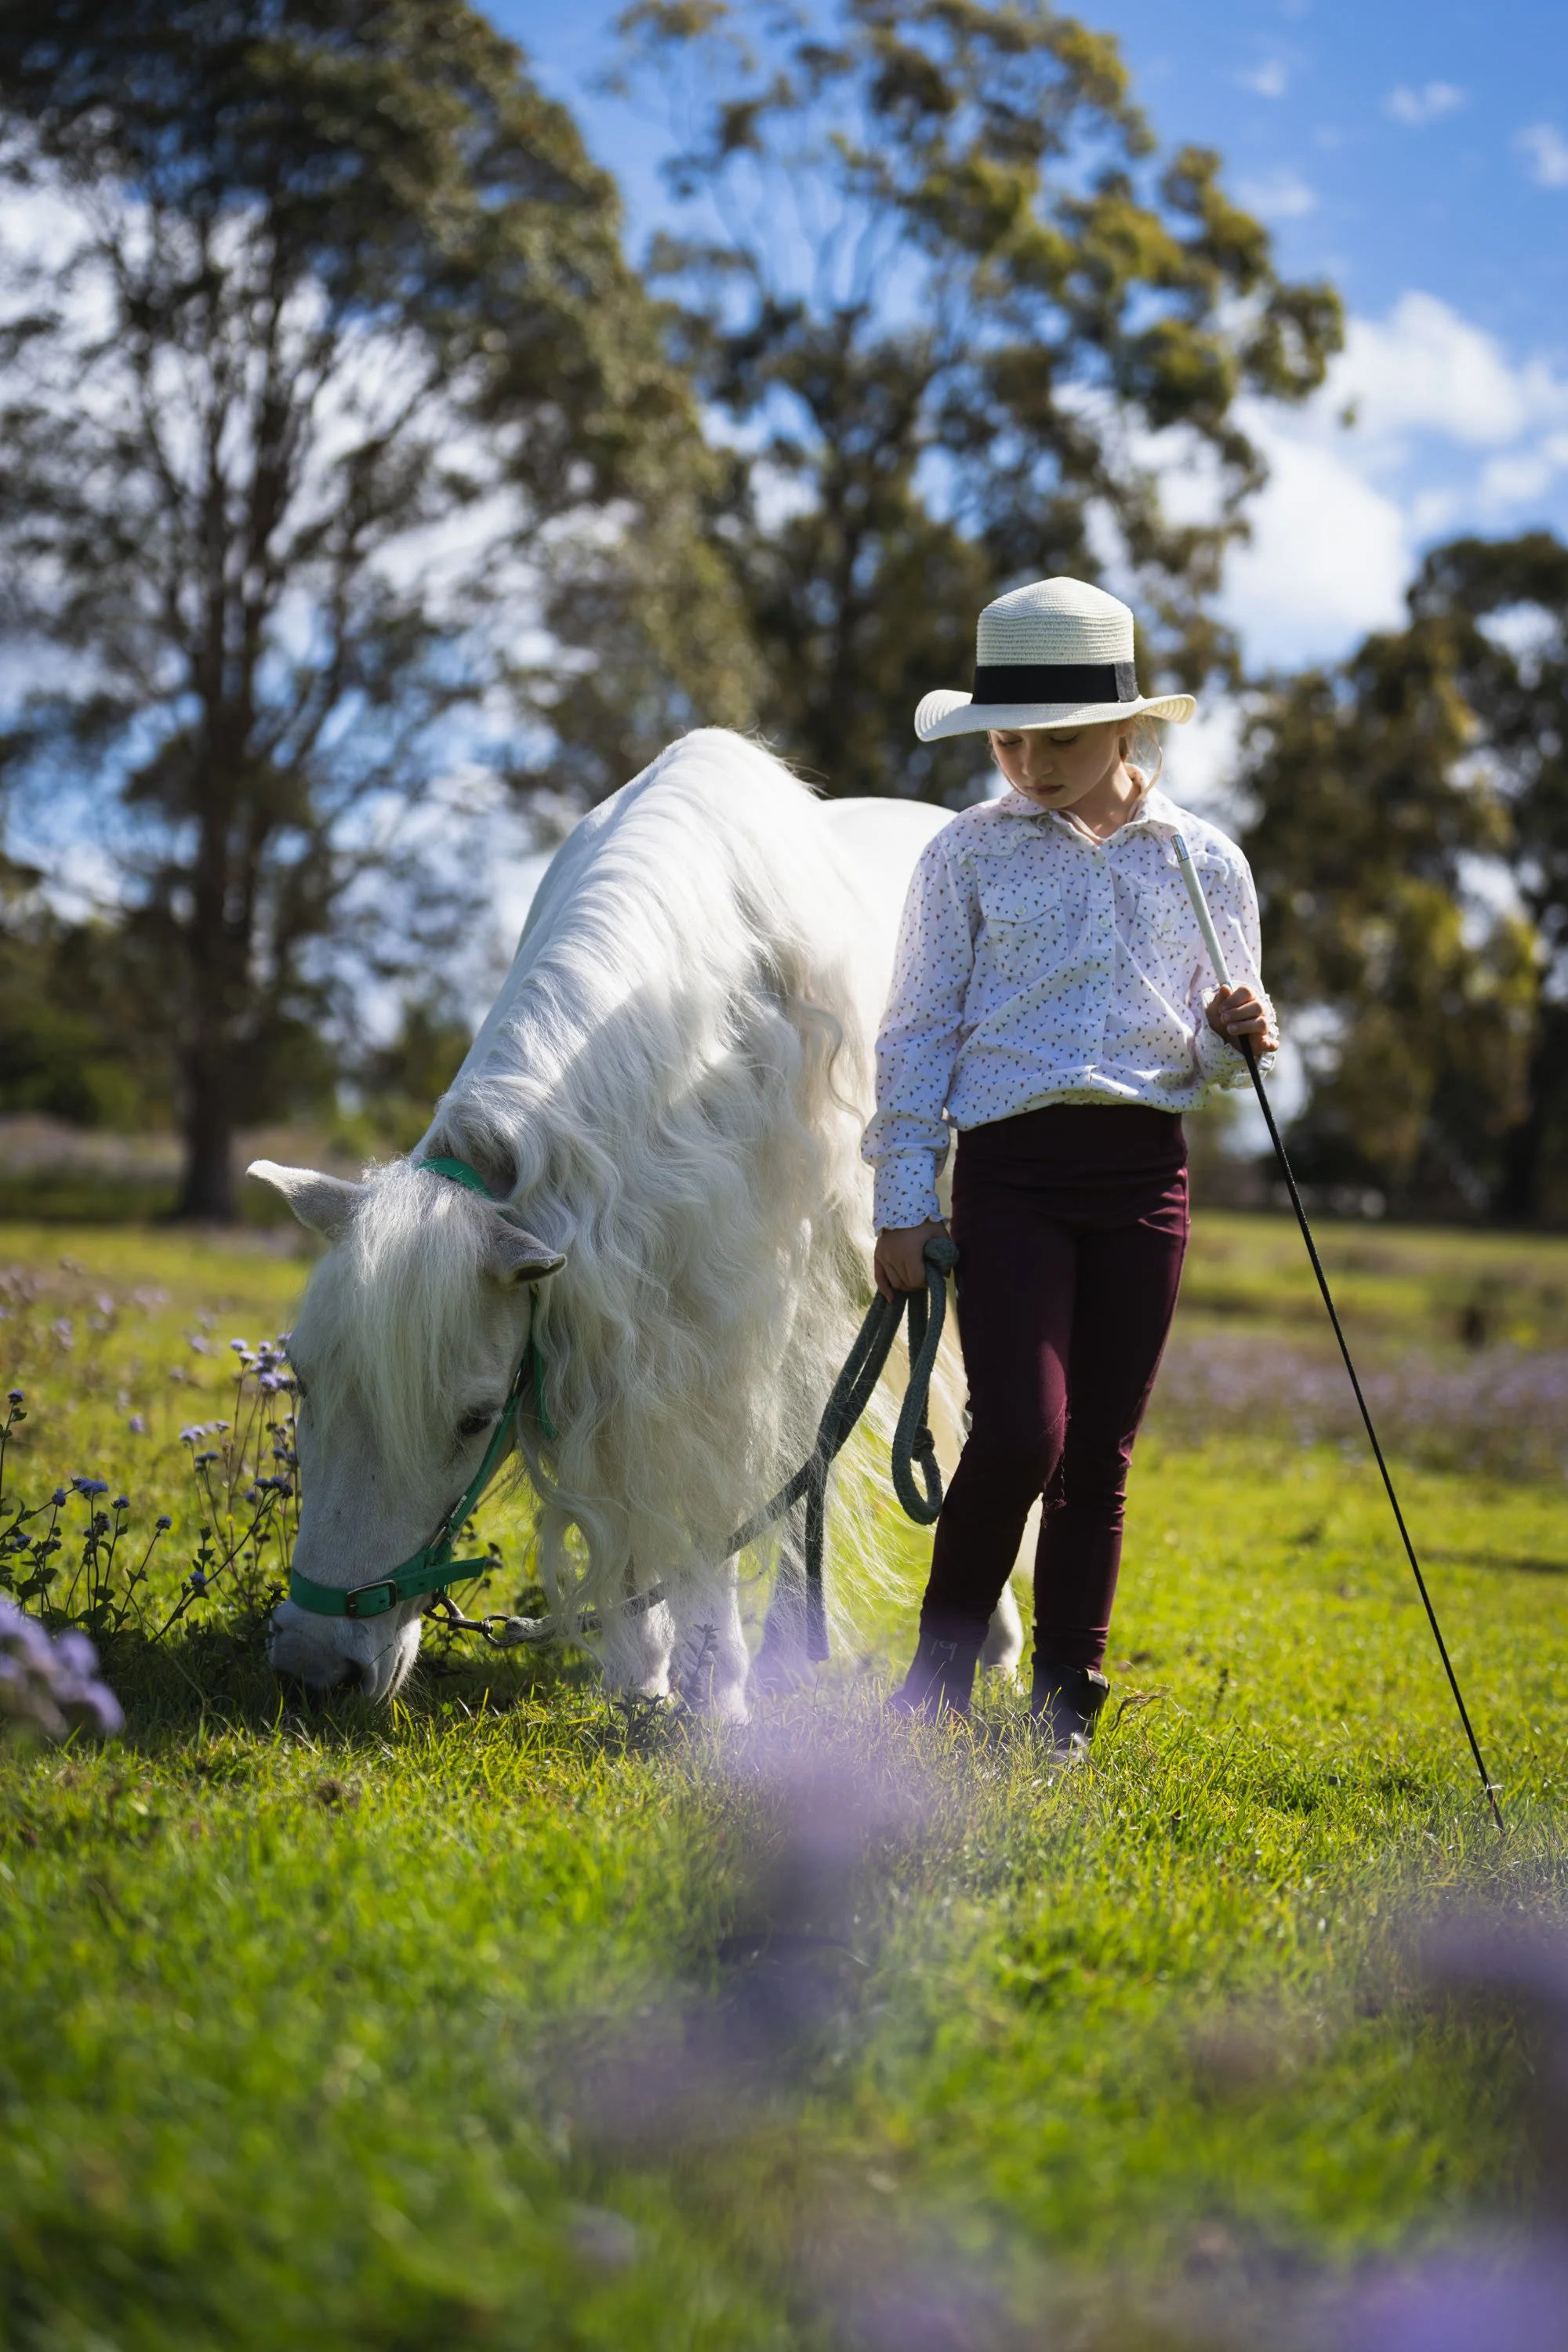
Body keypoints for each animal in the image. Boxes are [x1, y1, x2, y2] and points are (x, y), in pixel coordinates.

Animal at [252, 729, 1022, 1711]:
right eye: (304, 1381)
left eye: (471, 1418)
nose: (316, 1668)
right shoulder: (601, 1268)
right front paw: (644, 1664)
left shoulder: (743, 1298)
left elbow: (730, 1463)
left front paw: (714, 1684)